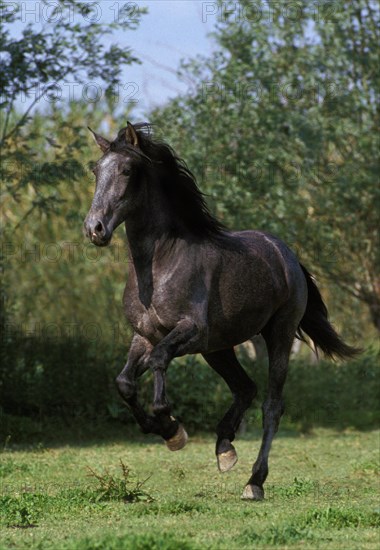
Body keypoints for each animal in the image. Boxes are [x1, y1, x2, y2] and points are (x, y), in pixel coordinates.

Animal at [84, 123, 360, 502]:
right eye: (96, 170)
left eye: (127, 170)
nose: (94, 228)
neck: (159, 264)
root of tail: (286, 254)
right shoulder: (144, 335)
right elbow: (124, 382)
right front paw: (168, 432)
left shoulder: (190, 332)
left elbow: (159, 360)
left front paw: (172, 429)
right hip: (219, 348)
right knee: (245, 388)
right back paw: (225, 449)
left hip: (277, 335)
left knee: (272, 405)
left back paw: (254, 482)